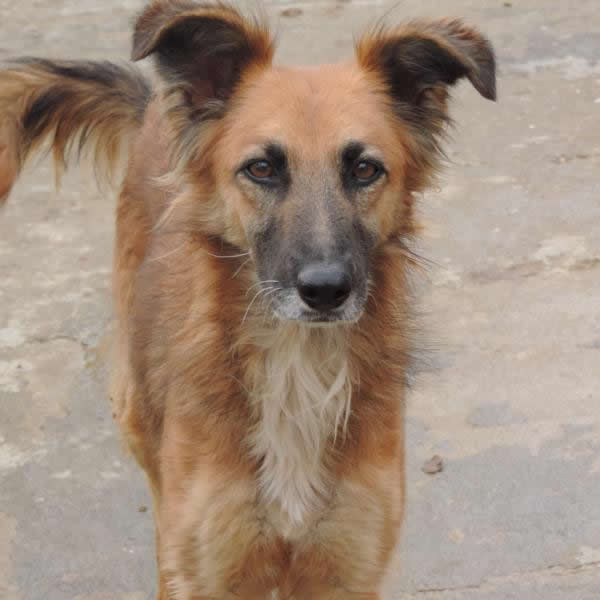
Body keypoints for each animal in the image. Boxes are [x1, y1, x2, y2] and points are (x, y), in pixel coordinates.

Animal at [0, 2, 496, 598]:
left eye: (365, 169)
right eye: (261, 168)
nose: (325, 290)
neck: (296, 364)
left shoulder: (347, 565)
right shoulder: (213, 564)